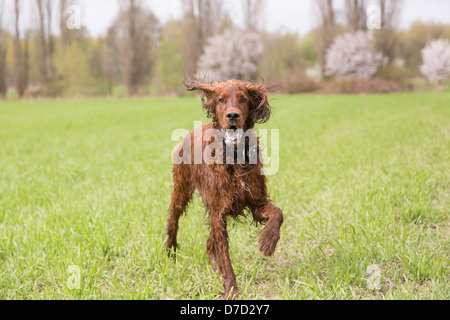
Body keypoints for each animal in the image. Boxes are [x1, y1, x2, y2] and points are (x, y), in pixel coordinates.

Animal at [165, 78, 284, 298]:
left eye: (244, 99)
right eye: (221, 99)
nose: (232, 115)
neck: (234, 157)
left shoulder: (256, 203)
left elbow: (277, 213)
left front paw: (267, 241)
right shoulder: (218, 212)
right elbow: (226, 258)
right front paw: (231, 291)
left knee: (209, 242)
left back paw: (213, 267)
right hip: (181, 190)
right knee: (173, 222)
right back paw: (170, 253)